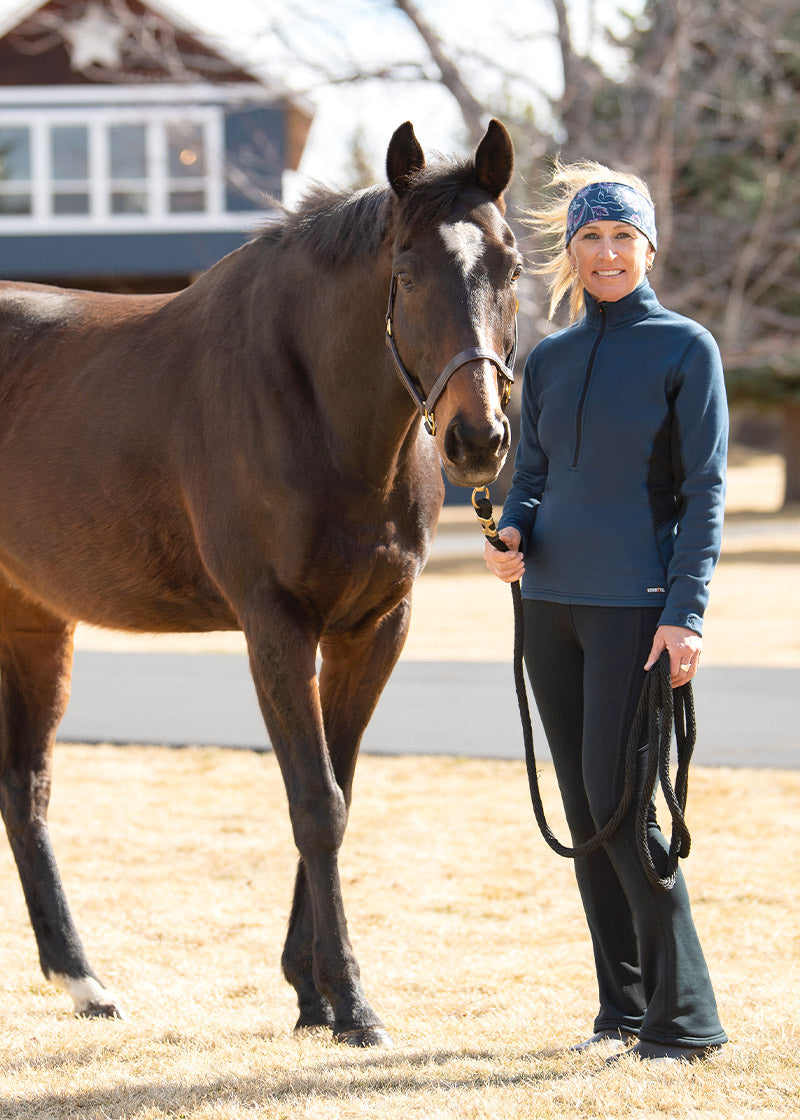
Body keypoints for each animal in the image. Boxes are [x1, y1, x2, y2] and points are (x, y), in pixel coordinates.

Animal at [0, 118, 517, 1043]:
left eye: (514, 267)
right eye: (407, 272)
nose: (477, 440)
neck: (317, 406)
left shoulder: (375, 625)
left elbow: (339, 788)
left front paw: (310, 990)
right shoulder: (276, 624)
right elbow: (315, 802)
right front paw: (350, 1002)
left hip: (32, 618)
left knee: (25, 788)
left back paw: (84, 983)